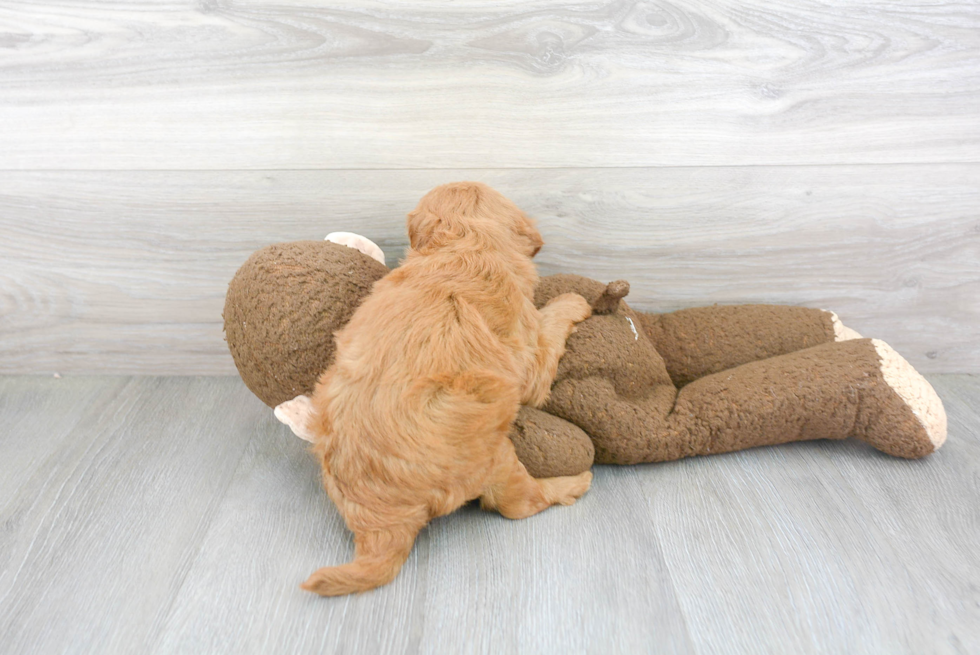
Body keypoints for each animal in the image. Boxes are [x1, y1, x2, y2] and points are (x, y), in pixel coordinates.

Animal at [280, 182, 592, 596]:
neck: (463, 245)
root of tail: (382, 525)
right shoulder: (530, 357)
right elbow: (549, 329)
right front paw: (573, 301)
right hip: (494, 455)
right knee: (517, 503)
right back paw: (572, 484)